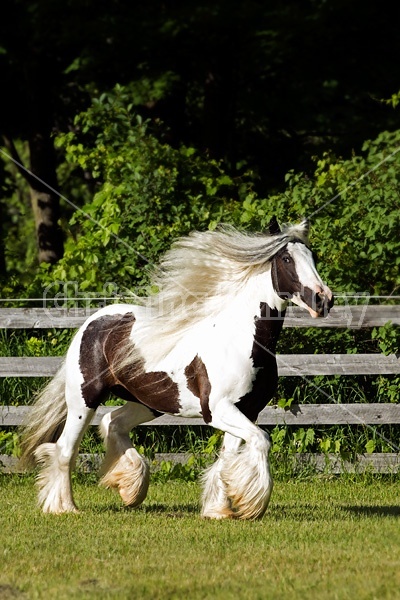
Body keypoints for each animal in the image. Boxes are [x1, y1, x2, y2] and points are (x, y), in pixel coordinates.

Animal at [18, 218, 332, 516]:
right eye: (287, 259)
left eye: (312, 256)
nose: (323, 299)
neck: (241, 339)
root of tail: (93, 321)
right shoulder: (218, 410)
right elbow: (262, 440)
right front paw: (252, 506)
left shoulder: (247, 410)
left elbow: (229, 458)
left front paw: (219, 510)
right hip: (84, 400)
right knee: (65, 450)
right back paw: (64, 507)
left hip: (148, 402)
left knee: (113, 423)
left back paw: (131, 490)